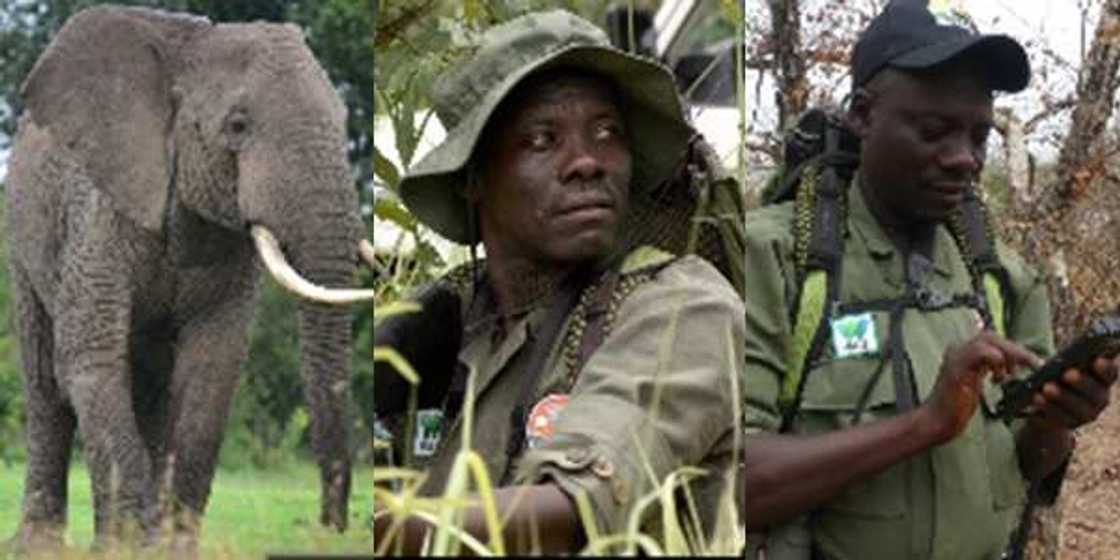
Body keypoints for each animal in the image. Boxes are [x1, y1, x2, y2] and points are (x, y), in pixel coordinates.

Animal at [3, 5, 375, 553]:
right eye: (237, 125)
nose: (330, 527)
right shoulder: (97, 214)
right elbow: (90, 359)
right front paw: (128, 549)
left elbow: (210, 368)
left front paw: (168, 548)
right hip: (23, 238)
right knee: (47, 385)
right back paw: (41, 547)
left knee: (150, 389)